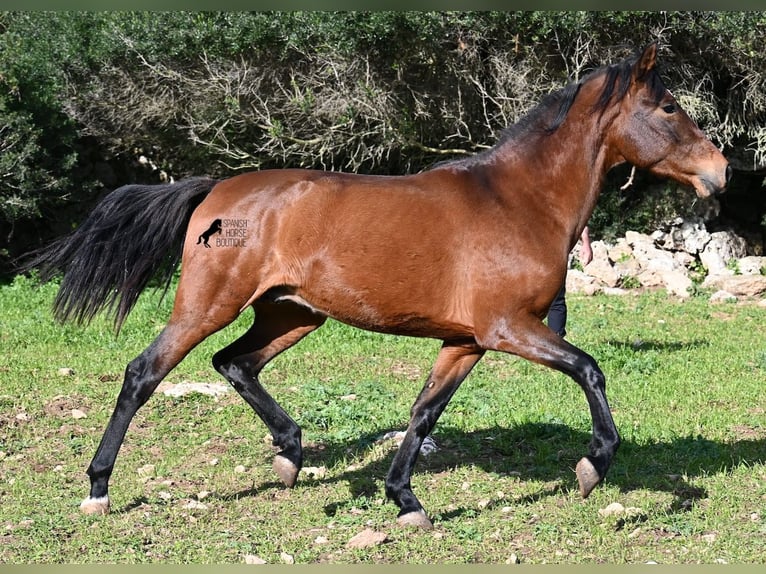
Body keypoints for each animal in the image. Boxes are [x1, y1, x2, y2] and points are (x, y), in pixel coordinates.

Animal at [25, 45, 732, 532]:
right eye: (668, 107)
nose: (721, 170)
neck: (519, 200)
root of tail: (216, 190)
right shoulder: (508, 328)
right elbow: (590, 370)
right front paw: (593, 467)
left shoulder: (465, 341)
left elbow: (423, 413)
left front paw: (406, 502)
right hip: (209, 304)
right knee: (143, 373)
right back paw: (98, 489)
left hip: (292, 314)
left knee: (235, 363)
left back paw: (289, 455)